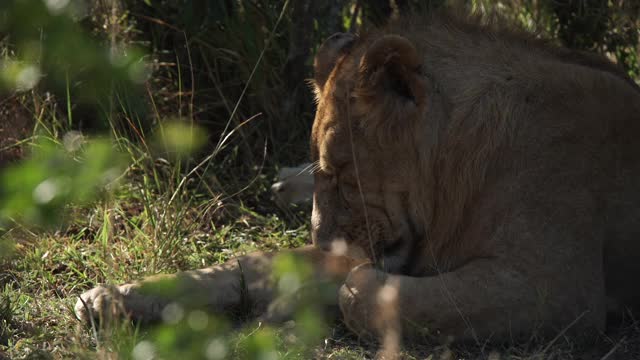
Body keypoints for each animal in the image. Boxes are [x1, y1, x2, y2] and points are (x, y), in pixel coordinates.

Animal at [74, 9, 640, 344]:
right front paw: (115, 297)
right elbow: (252, 263)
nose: (322, 242)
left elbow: (357, 290)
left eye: (344, 171)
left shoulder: (557, 289)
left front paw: (301, 299)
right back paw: (283, 185)